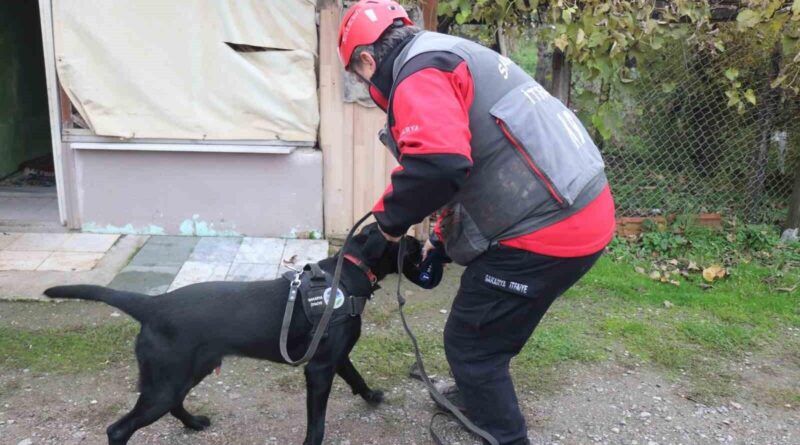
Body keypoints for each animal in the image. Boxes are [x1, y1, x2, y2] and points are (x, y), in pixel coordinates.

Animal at [42, 225, 424, 444]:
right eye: (406, 241)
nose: (423, 244)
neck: (349, 273)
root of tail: (154, 305)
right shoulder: (318, 369)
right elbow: (317, 422)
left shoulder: (335, 357)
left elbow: (357, 378)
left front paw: (372, 397)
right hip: (167, 381)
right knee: (118, 429)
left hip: (183, 374)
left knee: (174, 405)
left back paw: (195, 423)